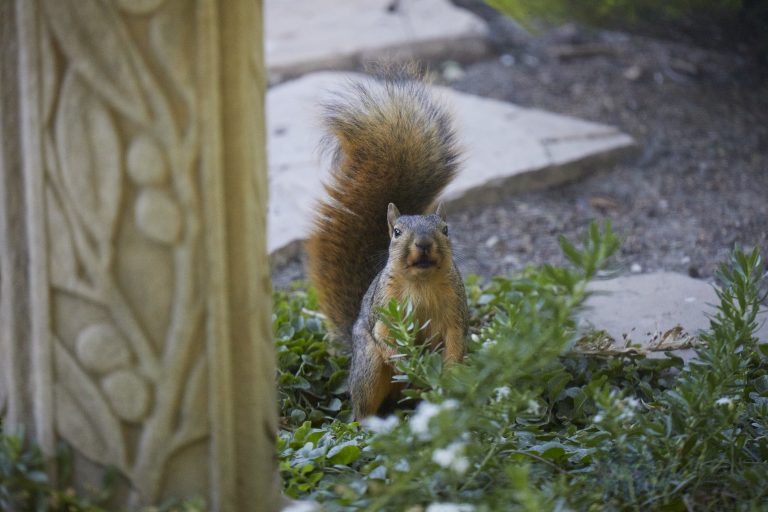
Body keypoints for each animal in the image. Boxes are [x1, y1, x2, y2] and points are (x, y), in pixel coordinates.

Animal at [306, 67, 469, 419]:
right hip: (368, 367)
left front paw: (452, 371)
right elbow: (383, 331)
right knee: (364, 404)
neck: (421, 282)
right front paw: (404, 357)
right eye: (397, 233)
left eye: (446, 229)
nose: (424, 244)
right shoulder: (385, 305)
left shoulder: (455, 308)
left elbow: (456, 337)